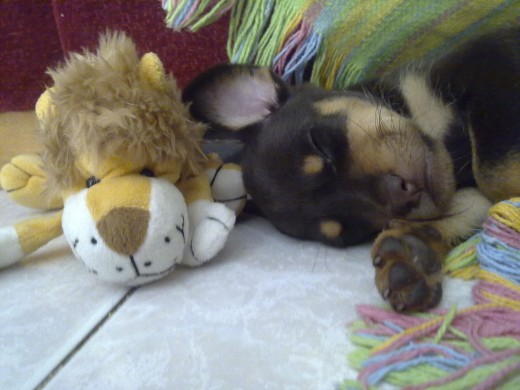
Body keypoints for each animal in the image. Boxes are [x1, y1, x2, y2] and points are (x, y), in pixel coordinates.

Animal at [184, 29, 520, 312]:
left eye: (318, 143)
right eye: (352, 230)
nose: (406, 194)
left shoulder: (491, 67)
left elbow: (494, 177)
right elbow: (476, 203)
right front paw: (410, 253)